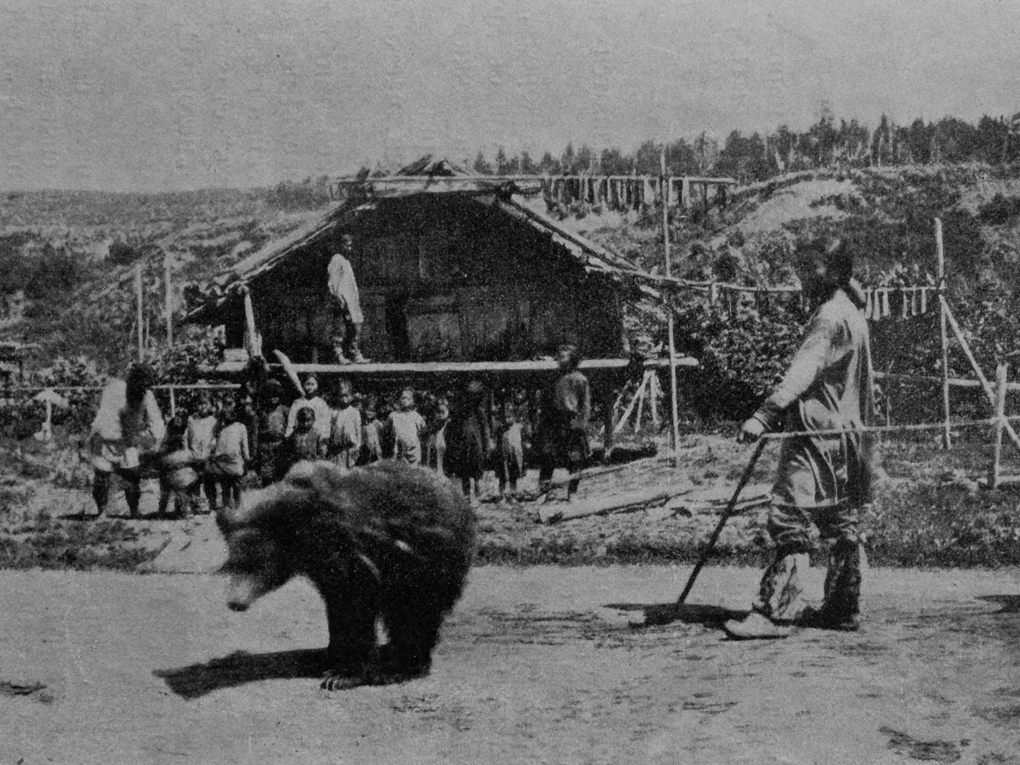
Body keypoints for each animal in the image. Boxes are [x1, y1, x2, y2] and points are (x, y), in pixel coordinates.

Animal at [216, 459, 477, 693]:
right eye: (233, 564)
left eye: (254, 564)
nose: (234, 603)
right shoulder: (324, 568)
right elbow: (336, 605)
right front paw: (330, 654)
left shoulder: (352, 551)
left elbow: (355, 607)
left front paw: (342, 675)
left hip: (429, 564)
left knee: (413, 614)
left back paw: (397, 667)